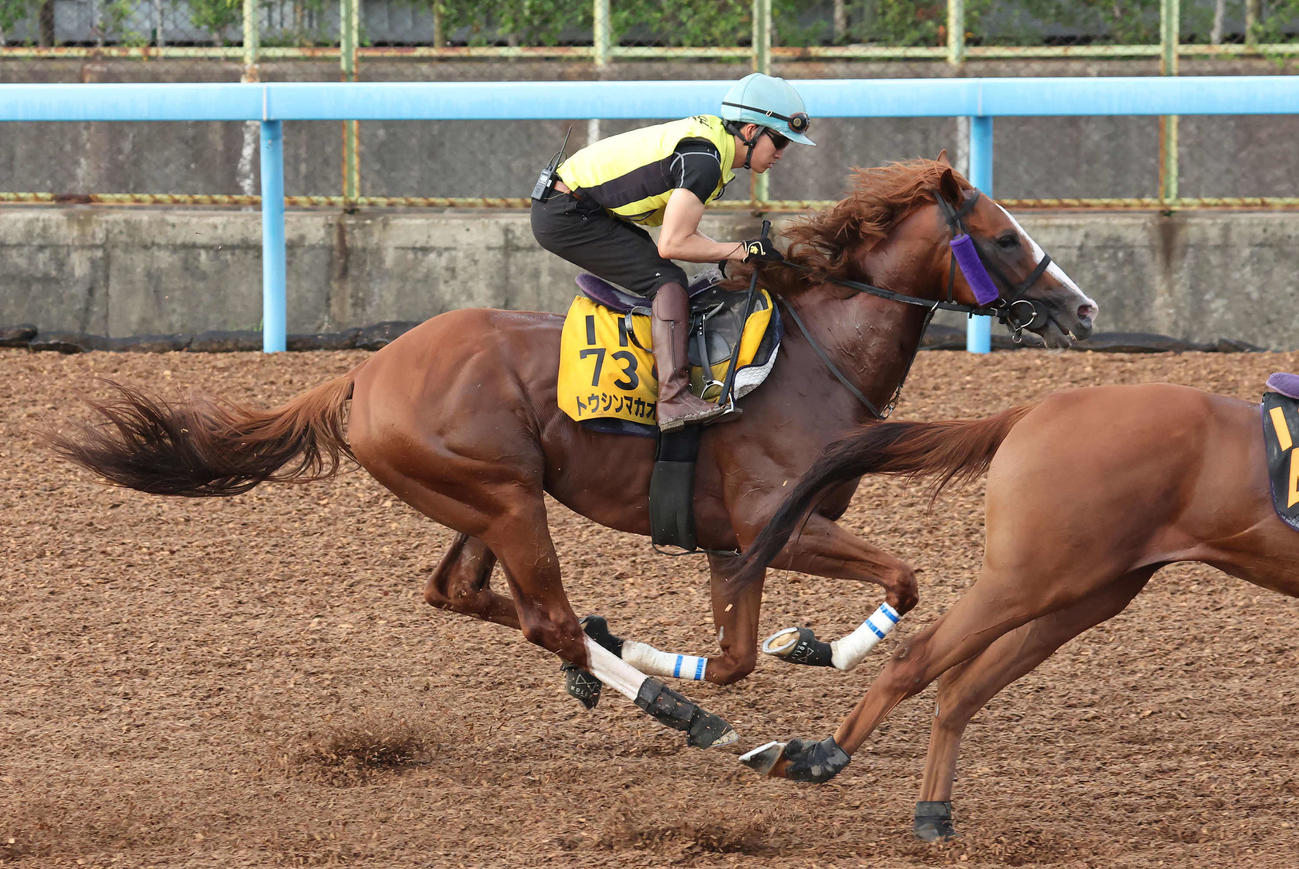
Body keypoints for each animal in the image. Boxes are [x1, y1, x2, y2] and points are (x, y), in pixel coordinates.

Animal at [52, 157, 1096, 752]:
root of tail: (366, 370)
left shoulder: (733, 544)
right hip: (507, 498)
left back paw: (606, 659)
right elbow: (904, 578)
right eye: (1004, 238)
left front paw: (784, 643)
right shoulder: (778, 524)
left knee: (466, 594)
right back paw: (685, 718)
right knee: (540, 615)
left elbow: (739, 653)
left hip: (479, 500)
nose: (1082, 310)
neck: (811, 353)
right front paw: (798, 652)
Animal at [732, 379, 1299, 839]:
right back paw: (818, 757)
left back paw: (931, 813)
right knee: (918, 658)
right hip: (1029, 581)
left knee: (960, 687)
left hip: (1080, 593)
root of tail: (1035, 410)